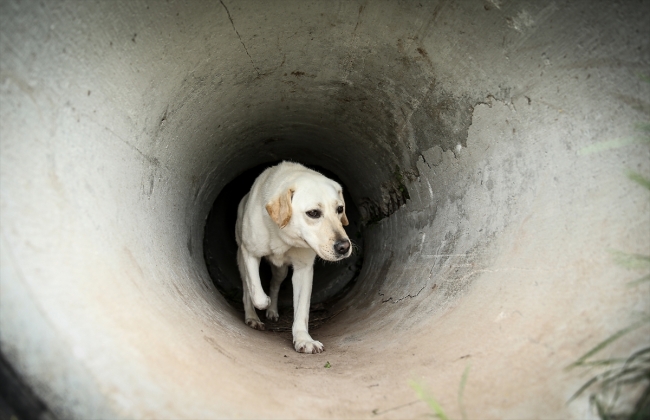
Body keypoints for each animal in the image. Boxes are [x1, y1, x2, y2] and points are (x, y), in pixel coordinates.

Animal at [234, 162, 350, 352]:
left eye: (340, 209)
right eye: (313, 213)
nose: (344, 247)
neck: (283, 236)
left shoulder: (304, 269)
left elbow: (302, 310)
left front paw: (303, 339)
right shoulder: (250, 253)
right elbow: (256, 293)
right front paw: (262, 303)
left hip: (281, 271)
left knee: (274, 284)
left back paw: (272, 311)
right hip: (241, 260)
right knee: (247, 288)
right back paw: (252, 317)